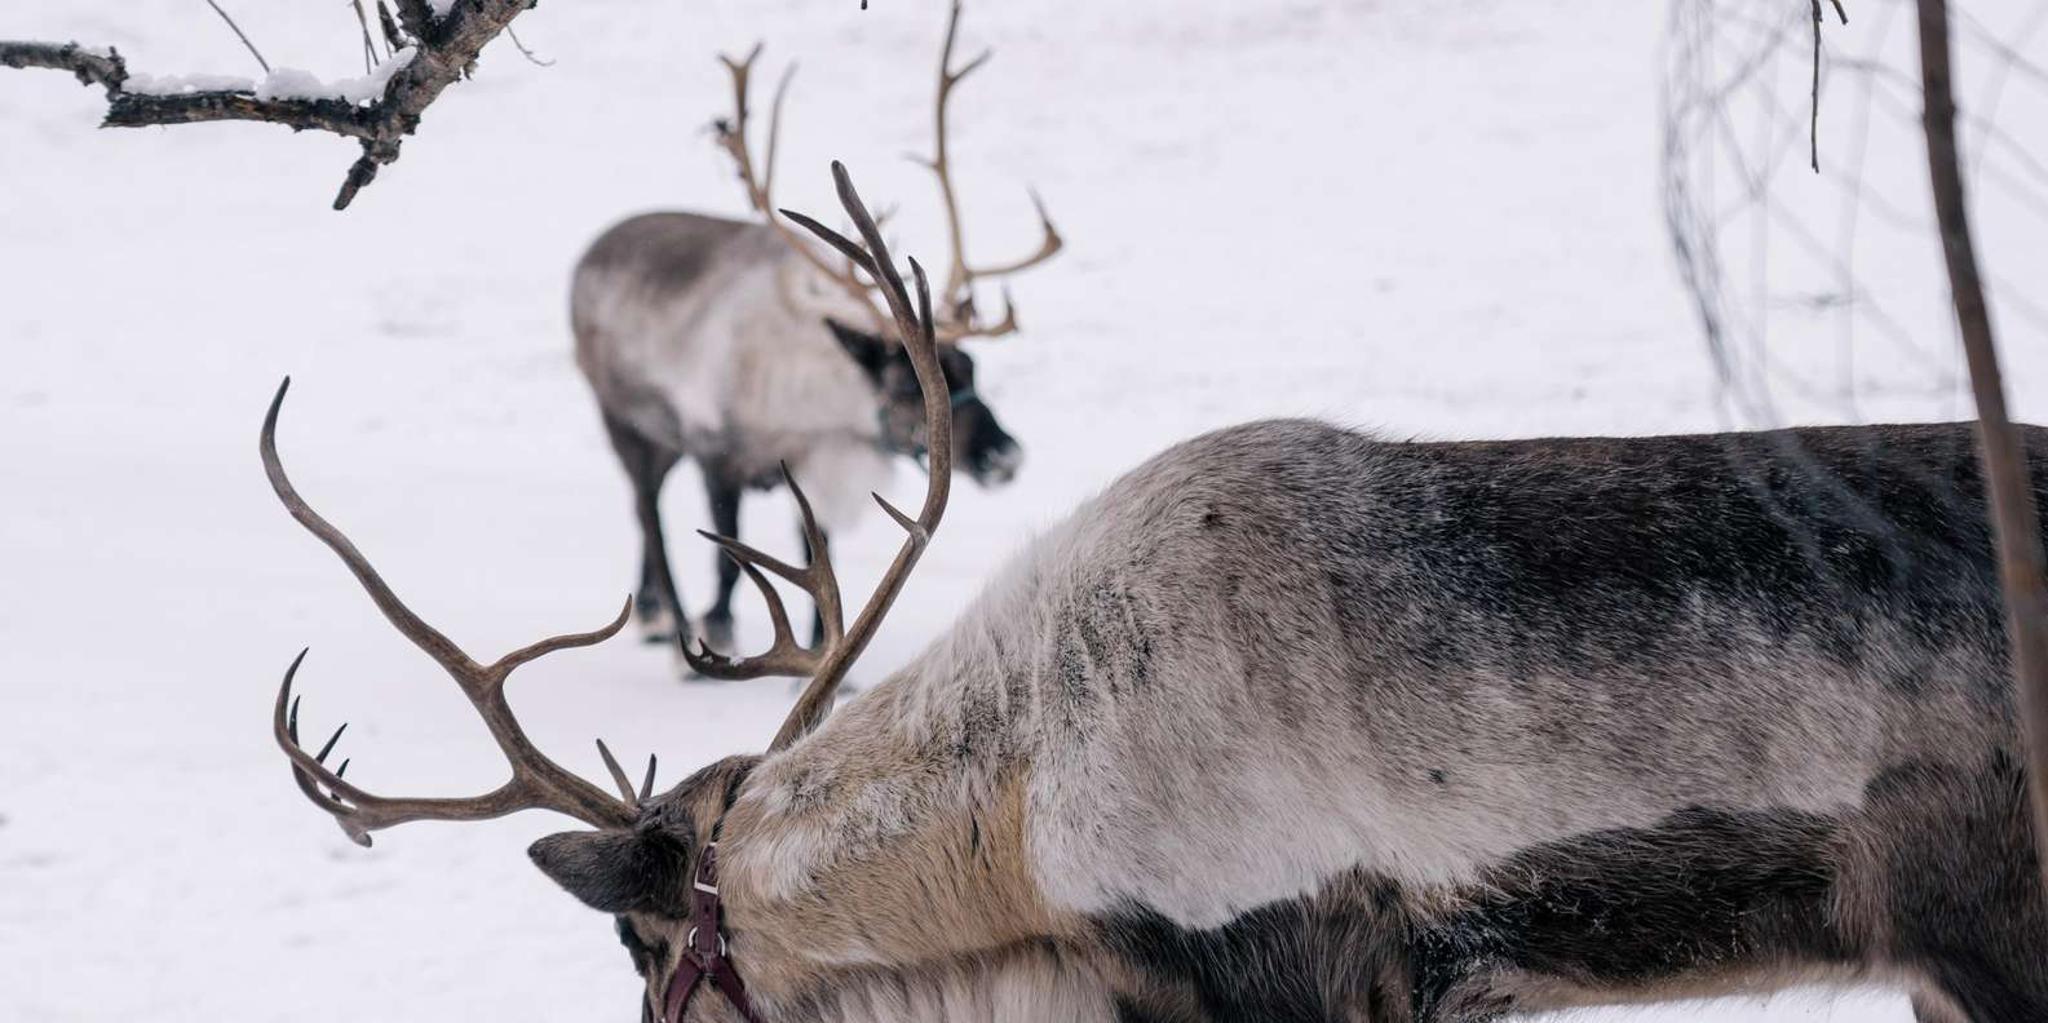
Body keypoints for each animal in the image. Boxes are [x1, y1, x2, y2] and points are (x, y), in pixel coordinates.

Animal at [570, 2, 1058, 667]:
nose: (1005, 456)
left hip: (663, 440)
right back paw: (672, 623)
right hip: (622, 419)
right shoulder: (716, 455)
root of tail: (590, 251)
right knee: (647, 511)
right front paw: (716, 630)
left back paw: (648, 613)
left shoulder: (814, 465)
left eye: (974, 369)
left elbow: (813, 552)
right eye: (904, 386)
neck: (818, 403)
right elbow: (727, 555)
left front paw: (825, 651)